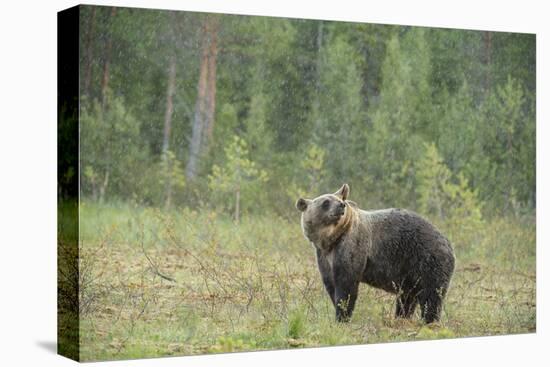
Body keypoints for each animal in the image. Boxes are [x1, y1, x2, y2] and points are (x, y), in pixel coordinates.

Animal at [298, 185, 458, 324]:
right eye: (326, 202)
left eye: (339, 199)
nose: (341, 205)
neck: (332, 239)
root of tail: (448, 242)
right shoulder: (324, 256)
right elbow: (331, 283)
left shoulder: (352, 246)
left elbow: (346, 285)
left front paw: (342, 316)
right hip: (410, 273)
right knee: (407, 297)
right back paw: (401, 318)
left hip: (427, 259)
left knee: (431, 295)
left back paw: (429, 321)